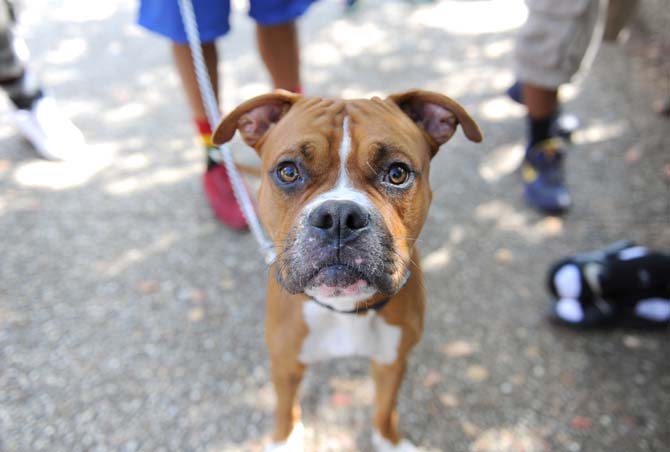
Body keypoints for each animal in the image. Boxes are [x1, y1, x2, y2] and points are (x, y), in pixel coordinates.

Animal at [214, 90, 484, 450]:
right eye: (288, 172)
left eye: (397, 173)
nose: (339, 216)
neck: (342, 308)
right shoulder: (285, 362)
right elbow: (285, 409)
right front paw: (284, 441)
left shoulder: (392, 361)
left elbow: (384, 410)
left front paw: (390, 442)